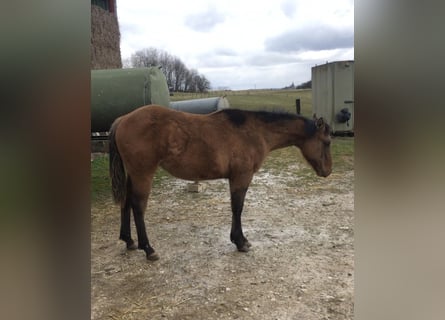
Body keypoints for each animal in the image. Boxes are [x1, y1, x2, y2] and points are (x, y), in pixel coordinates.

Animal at [108, 105, 330, 260]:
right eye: (327, 142)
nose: (327, 171)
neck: (254, 131)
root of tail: (123, 119)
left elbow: (235, 208)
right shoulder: (242, 176)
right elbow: (237, 208)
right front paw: (240, 242)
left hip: (133, 174)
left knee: (126, 203)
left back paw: (129, 240)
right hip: (142, 173)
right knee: (138, 207)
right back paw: (148, 248)